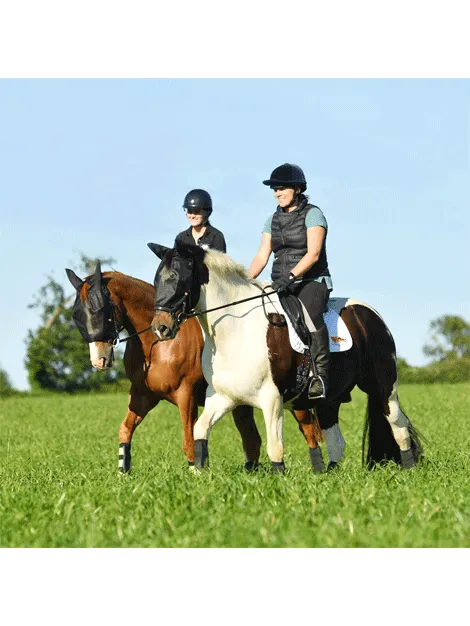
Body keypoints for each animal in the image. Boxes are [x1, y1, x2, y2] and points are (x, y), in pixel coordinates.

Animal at [64, 260, 324, 470]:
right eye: (76, 314)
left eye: (100, 309)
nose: (99, 360)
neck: (158, 345)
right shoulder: (143, 395)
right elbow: (125, 430)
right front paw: (122, 473)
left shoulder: (185, 395)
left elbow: (188, 440)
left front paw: (194, 472)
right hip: (241, 402)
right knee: (253, 439)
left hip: (289, 398)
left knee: (308, 430)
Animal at [150, 241, 422, 470]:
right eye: (157, 281)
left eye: (179, 279)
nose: (160, 328)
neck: (236, 329)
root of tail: (370, 313)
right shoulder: (222, 397)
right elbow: (200, 431)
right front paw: (198, 474)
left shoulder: (271, 398)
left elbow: (275, 447)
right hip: (329, 398)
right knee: (337, 441)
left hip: (383, 387)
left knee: (398, 426)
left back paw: (409, 469)